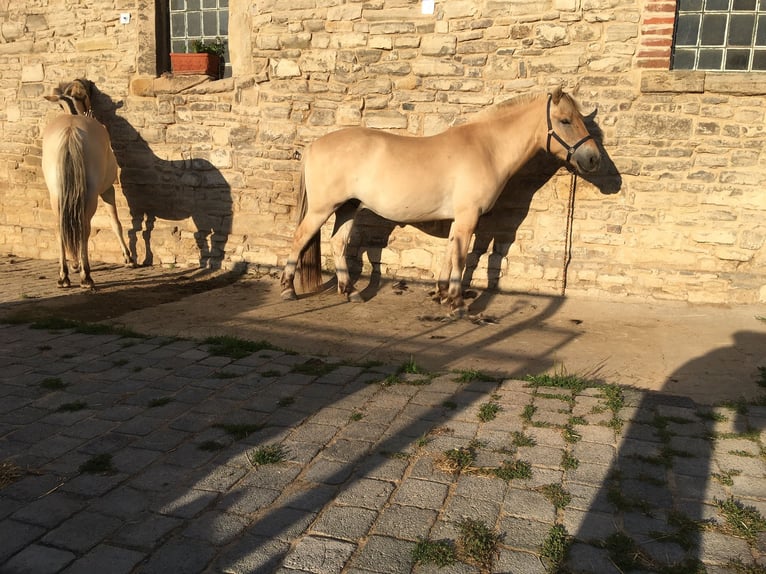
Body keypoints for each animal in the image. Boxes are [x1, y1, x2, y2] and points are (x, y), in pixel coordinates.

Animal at [42, 79, 136, 290]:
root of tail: (70, 131)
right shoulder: (108, 190)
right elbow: (116, 222)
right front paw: (128, 258)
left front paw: (75, 263)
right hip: (91, 194)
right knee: (84, 227)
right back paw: (86, 276)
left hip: (56, 193)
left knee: (61, 227)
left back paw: (64, 276)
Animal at [280, 89, 604, 316]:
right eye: (565, 121)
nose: (593, 159)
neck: (487, 148)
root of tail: (313, 145)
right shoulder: (469, 217)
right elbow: (463, 256)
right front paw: (457, 304)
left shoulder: (459, 219)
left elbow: (449, 252)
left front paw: (442, 293)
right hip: (323, 208)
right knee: (300, 238)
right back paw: (287, 290)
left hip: (348, 206)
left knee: (338, 242)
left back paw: (350, 291)